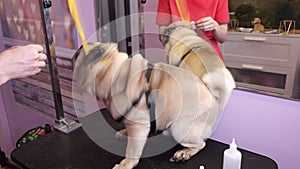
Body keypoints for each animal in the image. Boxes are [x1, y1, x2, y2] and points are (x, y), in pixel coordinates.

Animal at [72, 42, 227, 169]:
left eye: (80, 53)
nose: (77, 49)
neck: (115, 72)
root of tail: (214, 100)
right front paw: (124, 132)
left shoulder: (139, 125)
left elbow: (132, 150)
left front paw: (126, 164)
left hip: (180, 129)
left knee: (201, 144)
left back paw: (184, 153)